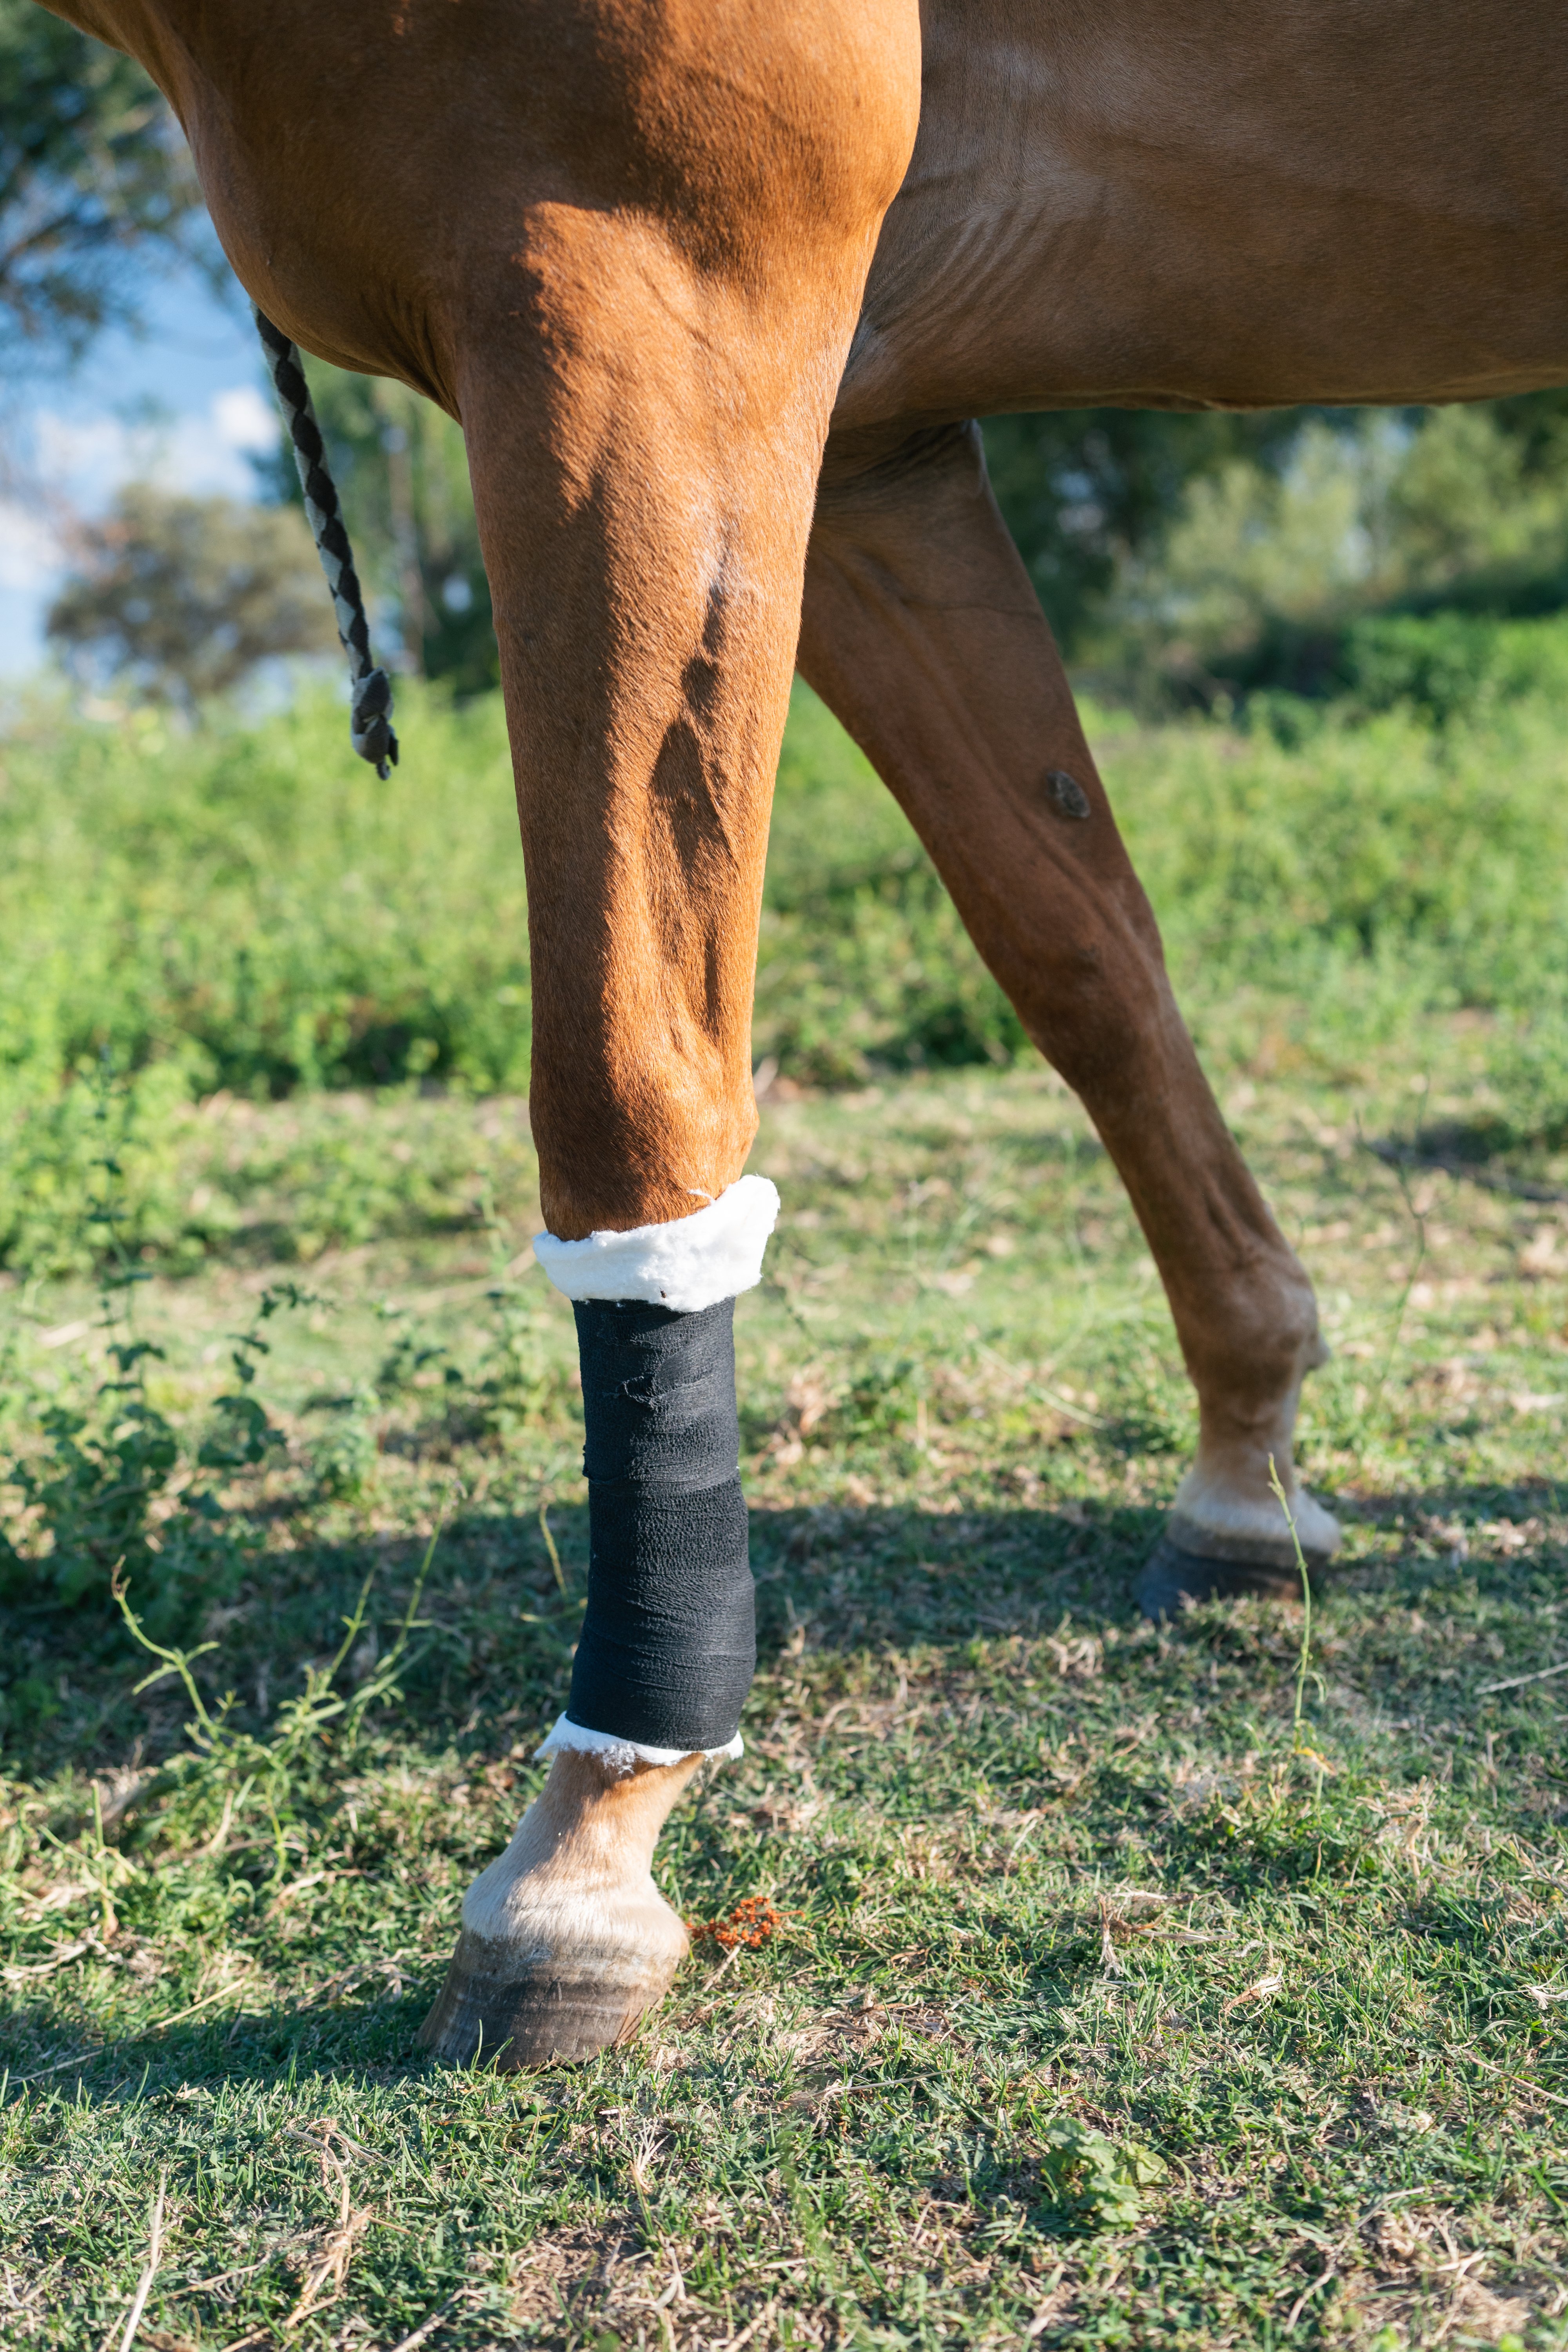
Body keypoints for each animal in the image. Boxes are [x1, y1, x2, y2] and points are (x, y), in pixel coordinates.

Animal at [36, 0, 1568, 2066]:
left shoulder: (643, 272)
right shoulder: (863, 439)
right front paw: (1245, 1457)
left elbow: (627, 1075)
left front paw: (591, 1836)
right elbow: (1077, 946)